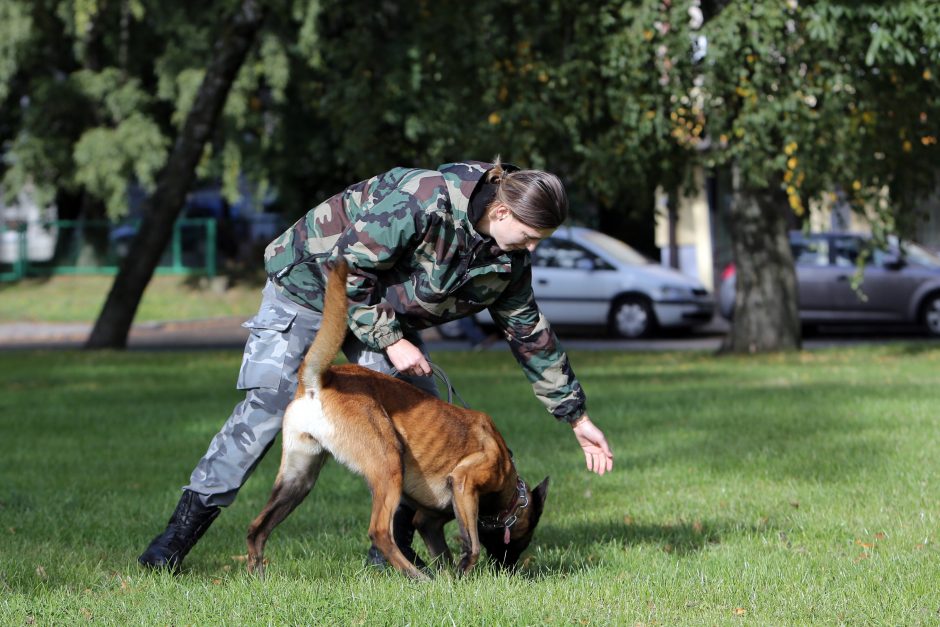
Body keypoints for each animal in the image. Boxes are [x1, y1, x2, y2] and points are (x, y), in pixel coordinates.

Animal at [246, 258, 548, 580]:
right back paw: (417, 576)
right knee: (379, 532)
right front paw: (462, 574)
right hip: (389, 464)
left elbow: (442, 550)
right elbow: (473, 545)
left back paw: (257, 577)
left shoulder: (429, 521)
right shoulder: (464, 483)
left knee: (257, 528)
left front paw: (450, 579)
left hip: (298, 478)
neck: (507, 481)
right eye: (525, 538)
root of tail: (320, 380)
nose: (510, 569)